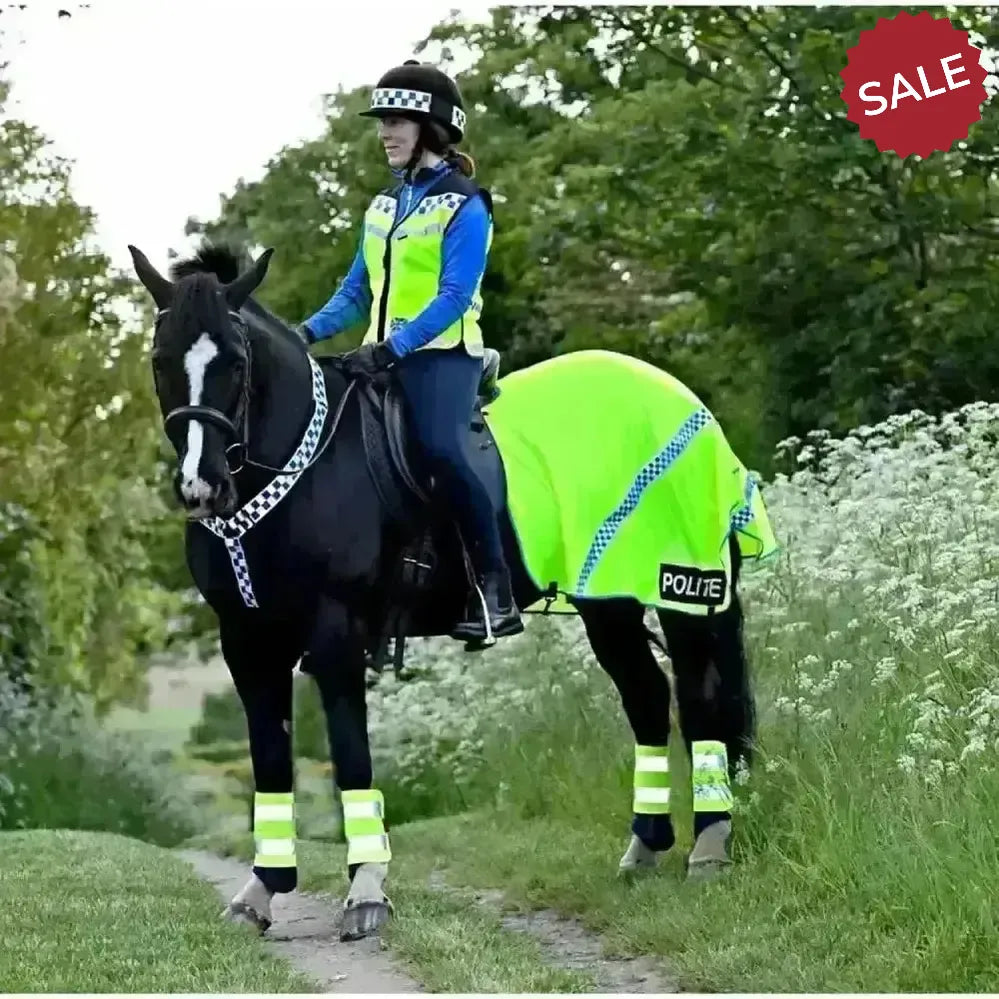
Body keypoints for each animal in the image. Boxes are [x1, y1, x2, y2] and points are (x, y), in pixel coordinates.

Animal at [128, 239, 769, 942]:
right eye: (160, 361)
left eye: (236, 363)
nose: (201, 487)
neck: (303, 466)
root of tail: (681, 398)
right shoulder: (246, 641)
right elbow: (269, 762)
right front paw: (260, 892)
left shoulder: (336, 636)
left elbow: (351, 756)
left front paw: (366, 893)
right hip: (610, 603)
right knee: (648, 699)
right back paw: (643, 850)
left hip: (682, 591)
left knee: (703, 699)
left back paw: (709, 847)